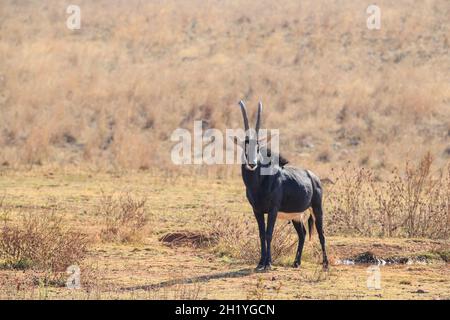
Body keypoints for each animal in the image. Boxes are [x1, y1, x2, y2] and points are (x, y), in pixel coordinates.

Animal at [234, 101, 328, 272]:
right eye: (245, 147)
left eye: (258, 147)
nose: (252, 164)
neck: (258, 184)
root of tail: (314, 177)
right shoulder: (257, 210)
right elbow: (261, 234)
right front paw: (260, 263)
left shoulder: (273, 209)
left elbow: (269, 233)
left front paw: (268, 263)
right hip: (296, 216)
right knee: (303, 234)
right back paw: (296, 262)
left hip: (317, 209)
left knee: (321, 233)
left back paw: (325, 264)